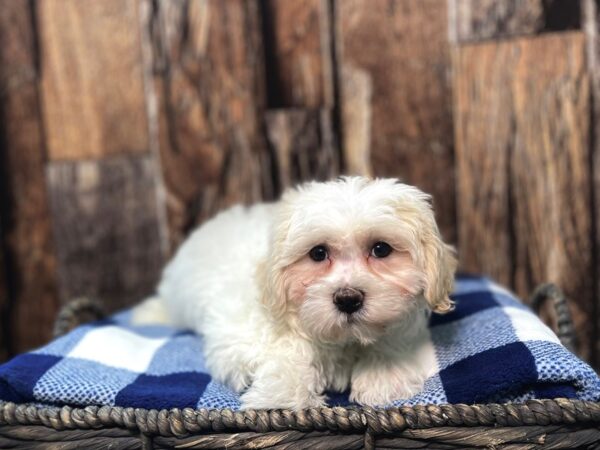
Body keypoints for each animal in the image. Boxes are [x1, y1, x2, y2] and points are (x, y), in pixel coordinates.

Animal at [134, 178, 458, 410]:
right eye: (317, 253)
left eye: (381, 249)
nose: (348, 299)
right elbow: (287, 353)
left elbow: (390, 340)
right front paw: (283, 396)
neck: (343, 340)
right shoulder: (238, 333)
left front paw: (384, 376)